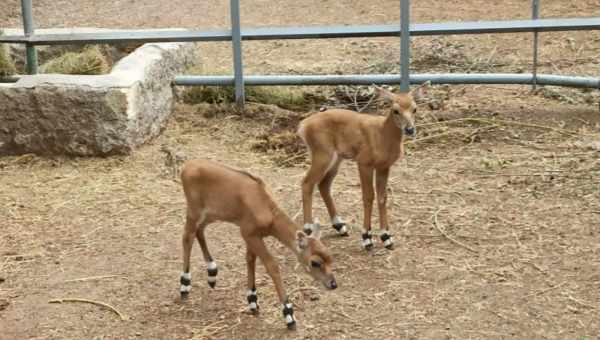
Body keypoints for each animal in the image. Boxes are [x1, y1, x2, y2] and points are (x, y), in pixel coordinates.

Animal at [178, 159, 338, 330]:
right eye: (315, 262)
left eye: (330, 258)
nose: (333, 284)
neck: (268, 211)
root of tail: (186, 167)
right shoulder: (248, 233)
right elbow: (271, 264)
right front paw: (289, 315)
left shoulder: (253, 235)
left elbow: (250, 259)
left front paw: (253, 301)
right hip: (194, 210)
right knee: (187, 237)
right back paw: (185, 285)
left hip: (211, 214)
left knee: (199, 230)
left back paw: (212, 273)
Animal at [298, 85, 424, 250]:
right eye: (395, 110)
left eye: (415, 109)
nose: (410, 129)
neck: (382, 136)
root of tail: (303, 125)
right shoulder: (364, 163)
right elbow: (368, 196)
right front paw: (367, 237)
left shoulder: (384, 166)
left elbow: (382, 197)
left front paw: (387, 237)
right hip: (323, 154)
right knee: (307, 182)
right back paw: (308, 228)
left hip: (336, 158)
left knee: (323, 184)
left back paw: (340, 226)